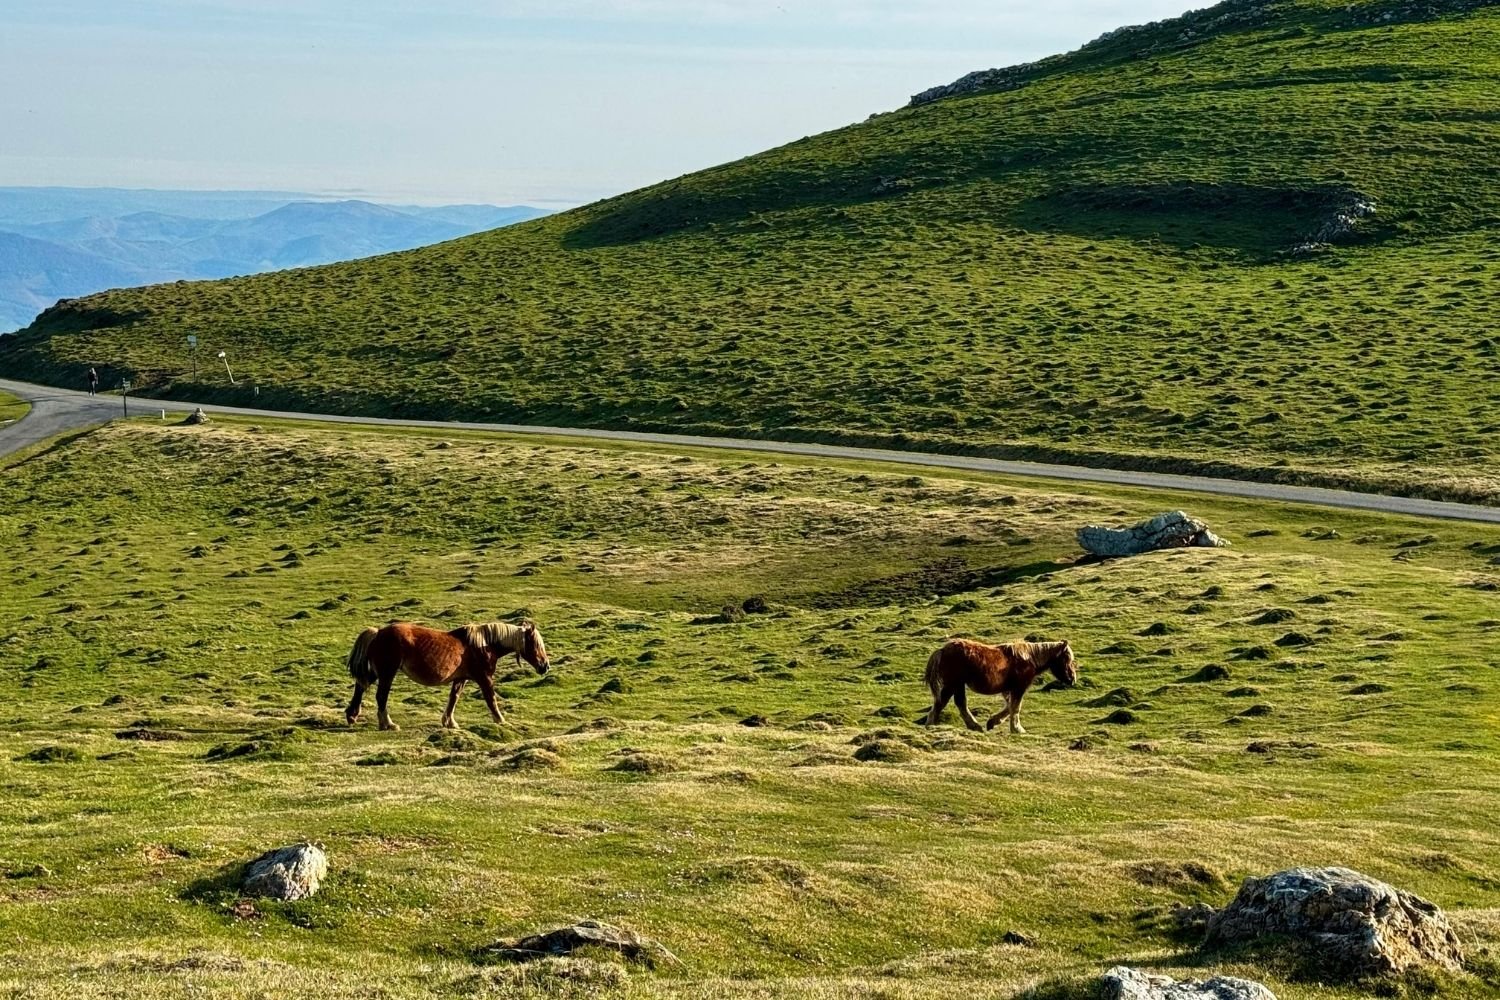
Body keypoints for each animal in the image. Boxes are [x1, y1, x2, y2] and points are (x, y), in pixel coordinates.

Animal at [345, 619, 550, 731]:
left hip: (377, 672)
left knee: (360, 687)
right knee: (381, 696)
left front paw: (449, 722)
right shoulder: (484, 678)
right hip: (387, 673)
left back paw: (352, 716)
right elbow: (491, 699)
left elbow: (453, 698)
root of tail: (377, 633)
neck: (484, 645)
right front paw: (501, 720)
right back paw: (388, 724)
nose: (545, 666)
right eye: (535, 644)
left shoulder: (460, 679)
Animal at [924, 638, 1077, 734]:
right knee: (946, 703)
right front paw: (1017, 729)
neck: (1029, 659)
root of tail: (942, 650)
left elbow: (1009, 707)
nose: (1072, 679)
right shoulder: (1018, 688)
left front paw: (993, 722)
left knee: (954, 703)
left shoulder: (1008, 689)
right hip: (954, 684)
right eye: (1066, 658)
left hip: (957, 685)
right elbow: (1015, 707)